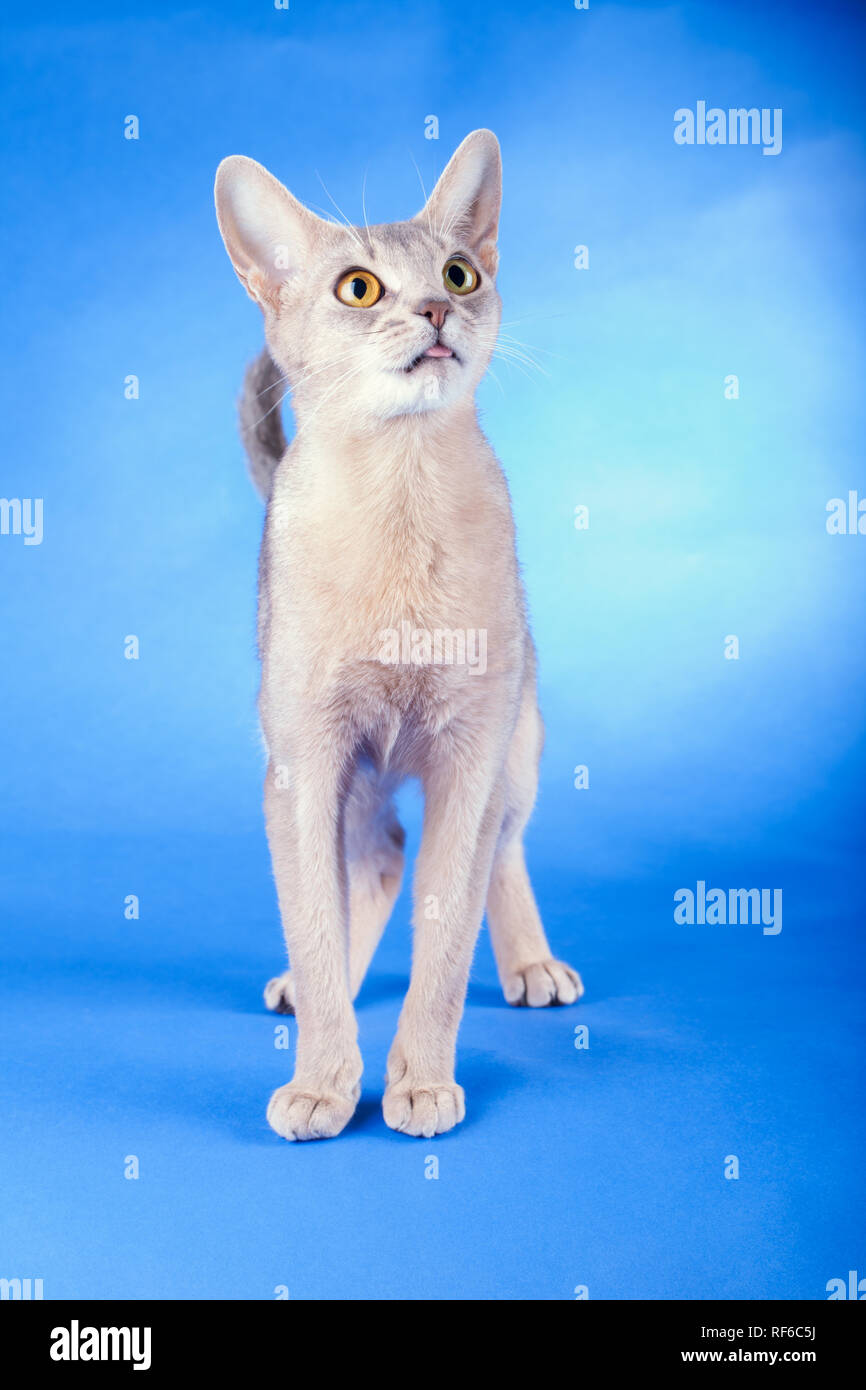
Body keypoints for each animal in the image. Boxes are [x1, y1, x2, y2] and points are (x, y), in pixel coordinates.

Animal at [214, 127, 586, 1139]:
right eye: (358, 288)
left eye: (460, 273)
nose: (435, 308)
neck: (400, 495)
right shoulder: (304, 764)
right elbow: (314, 914)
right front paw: (324, 1081)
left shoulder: (470, 752)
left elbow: (447, 936)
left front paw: (418, 1080)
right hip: (351, 772)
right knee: (375, 863)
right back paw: (318, 993)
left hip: (519, 743)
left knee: (501, 848)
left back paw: (531, 963)